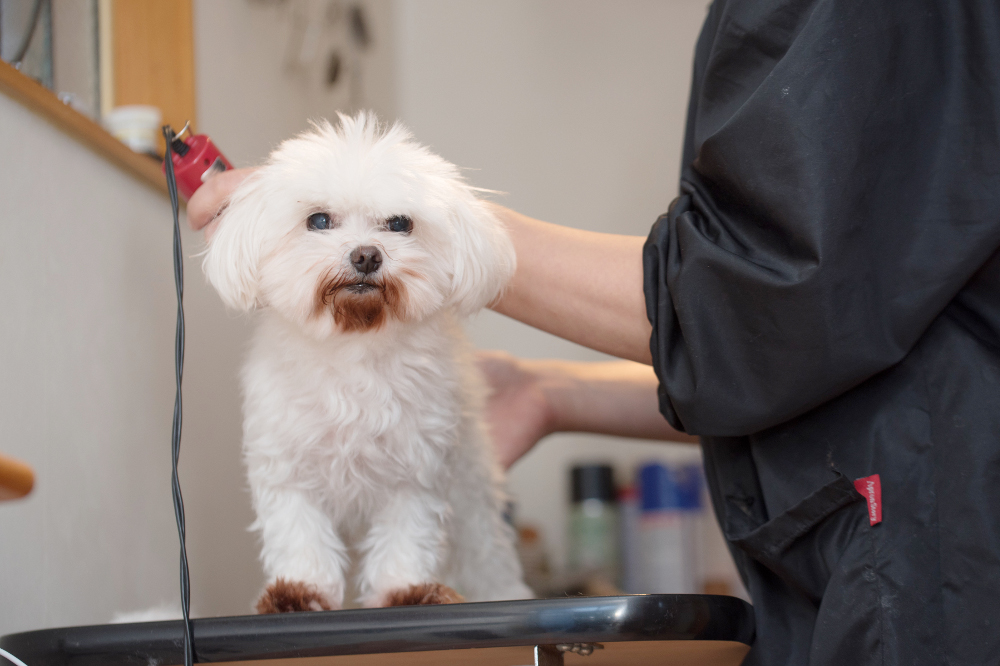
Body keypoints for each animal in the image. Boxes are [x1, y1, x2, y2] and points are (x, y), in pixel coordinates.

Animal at [201, 113, 532, 608]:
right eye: (319, 220)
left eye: (399, 223)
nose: (366, 255)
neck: (354, 346)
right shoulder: (287, 468)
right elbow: (300, 536)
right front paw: (300, 590)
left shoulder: (416, 470)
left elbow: (405, 536)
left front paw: (404, 590)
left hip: (471, 496)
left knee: (485, 555)